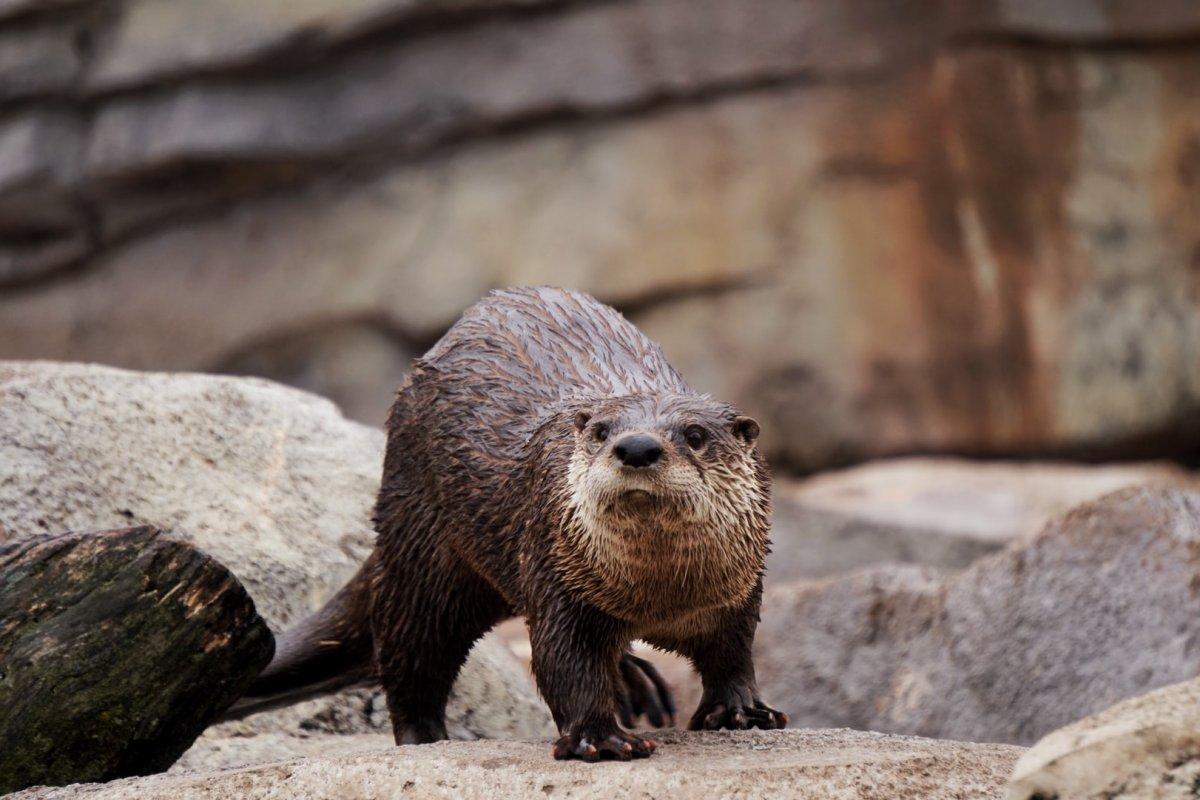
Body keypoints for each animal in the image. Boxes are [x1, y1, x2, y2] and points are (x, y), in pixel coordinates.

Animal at [237, 286, 782, 758]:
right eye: (601, 431)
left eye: (695, 435)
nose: (636, 447)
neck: (659, 596)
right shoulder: (559, 577)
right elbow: (565, 663)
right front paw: (600, 738)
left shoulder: (739, 590)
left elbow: (734, 652)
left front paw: (741, 711)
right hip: (423, 548)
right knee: (410, 650)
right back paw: (425, 738)